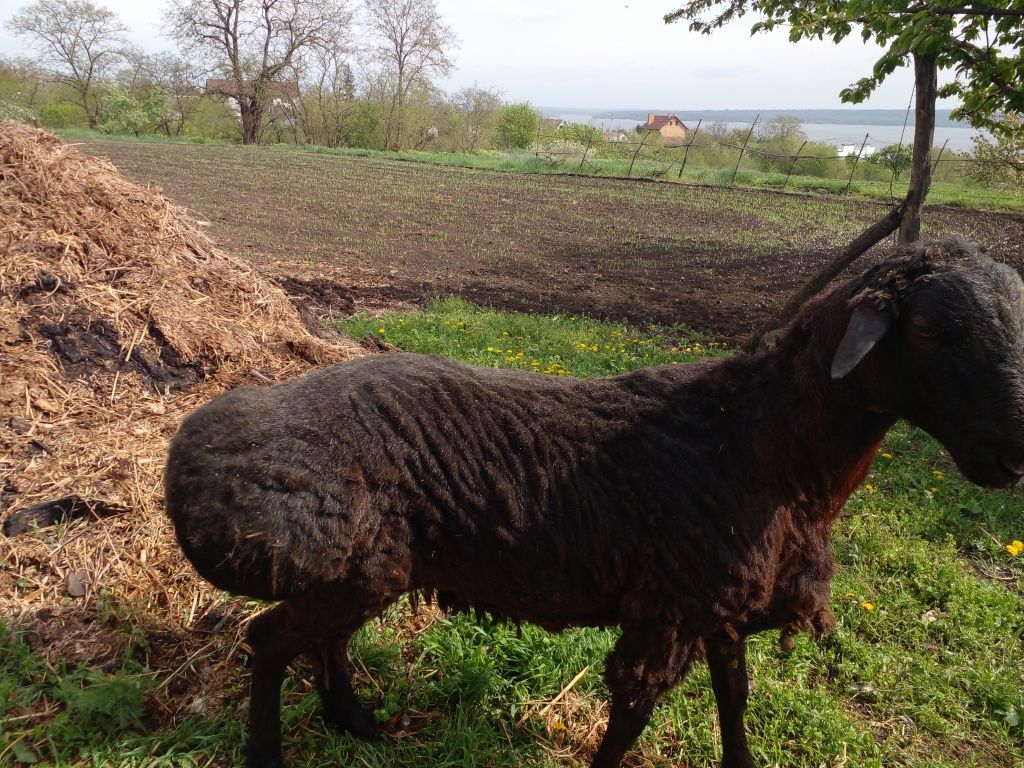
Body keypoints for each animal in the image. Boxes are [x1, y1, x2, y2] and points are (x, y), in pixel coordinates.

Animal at [163, 237, 1024, 765]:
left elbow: (736, 700)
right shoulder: (670, 607)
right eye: (931, 331)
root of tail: (192, 452)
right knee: (270, 641)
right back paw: (272, 751)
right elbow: (633, 716)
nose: (1011, 454)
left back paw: (355, 719)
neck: (761, 439)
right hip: (350, 569)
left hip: (368, 568)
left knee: (320, 639)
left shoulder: (719, 603)